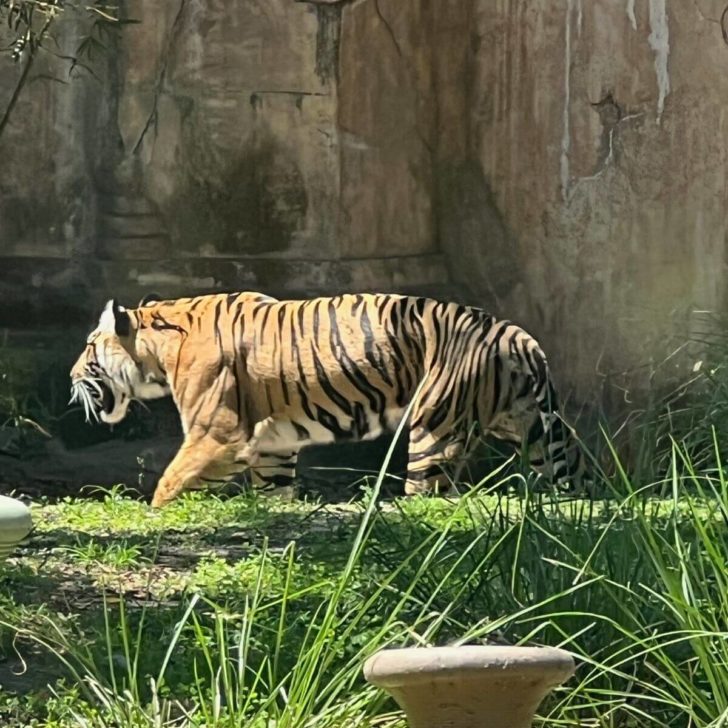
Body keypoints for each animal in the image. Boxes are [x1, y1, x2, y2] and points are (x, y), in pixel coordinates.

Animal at [69, 290, 592, 506]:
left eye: (89, 346)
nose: (71, 377)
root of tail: (520, 339)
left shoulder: (216, 434)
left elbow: (170, 484)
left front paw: (156, 514)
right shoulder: (272, 445)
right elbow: (274, 489)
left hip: (435, 429)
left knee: (431, 491)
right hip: (535, 428)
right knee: (576, 471)